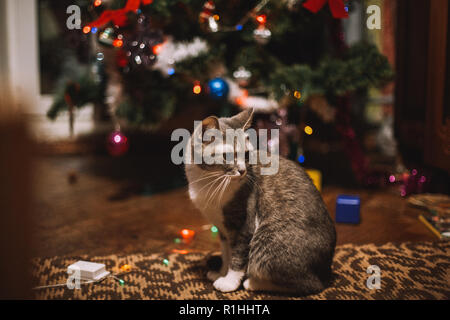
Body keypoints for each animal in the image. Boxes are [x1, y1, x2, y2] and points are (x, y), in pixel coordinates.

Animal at [185, 108, 336, 296]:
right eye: (227, 156)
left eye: (246, 154)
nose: (242, 171)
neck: (209, 181)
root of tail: (325, 270)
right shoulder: (222, 228)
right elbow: (226, 253)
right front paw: (220, 273)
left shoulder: (243, 224)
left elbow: (237, 256)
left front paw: (229, 282)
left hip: (269, 240)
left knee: (309, 285)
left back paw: (253, 283)